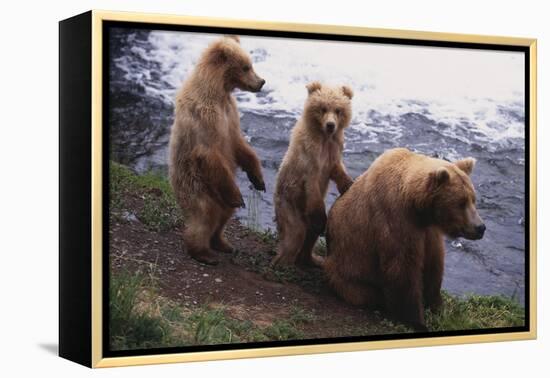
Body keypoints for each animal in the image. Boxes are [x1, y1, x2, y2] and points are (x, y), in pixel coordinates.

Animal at [170, 35, 270, 266]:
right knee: (204, 218)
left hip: (217, 195)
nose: (261, 82)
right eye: (246, 67)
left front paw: (258, 180)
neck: (218, 91)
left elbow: (239, 144)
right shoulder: (205, 117)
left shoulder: (230, 114)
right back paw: (203, 253)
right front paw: (240, 196)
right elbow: (209, 152)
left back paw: (223, 243)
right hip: (198, 187)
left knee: (224, 216)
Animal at [274, 82, 356, 266]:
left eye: (338, 110)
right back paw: (283, 261)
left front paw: (349, 184)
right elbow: (312, 187)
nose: (330, 125)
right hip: (289, 203)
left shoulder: (333, 151)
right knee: (295, 232)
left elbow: (337, 169)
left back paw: (312, 258)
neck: (324, 138)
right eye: (323, 108)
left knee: (310, 235)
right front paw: (320, 217)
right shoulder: (310, 159)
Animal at [326, 148, 486, 330]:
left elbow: (434, 264)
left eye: (473, 199)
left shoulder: (429, 231)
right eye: (461, 202)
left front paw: (438, 307)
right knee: (362, 291)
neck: (417, 208)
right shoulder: (396, 220)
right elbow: (402, 270)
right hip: (348, 271)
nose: (480, 227)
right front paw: (417, 321)